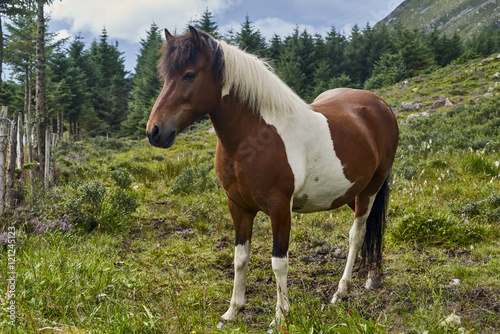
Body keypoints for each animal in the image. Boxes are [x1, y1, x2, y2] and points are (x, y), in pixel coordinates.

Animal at [145, 26, 398, 328]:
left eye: (189, 74)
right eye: (165, 77)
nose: (154, 131)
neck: (255, 137)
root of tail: (379, 105)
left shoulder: (280, 208)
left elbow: (279, 262)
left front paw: (280, 317)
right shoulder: (238, 207)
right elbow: (240, 257)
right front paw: (233, 311)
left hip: (371, 188)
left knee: (357, 233)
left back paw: (343, 290)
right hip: (351, 191)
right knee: (371, 227)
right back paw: (370, 277)